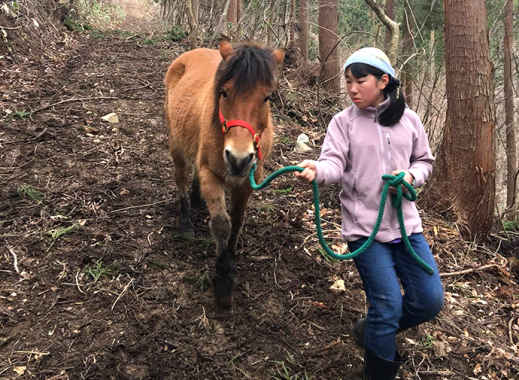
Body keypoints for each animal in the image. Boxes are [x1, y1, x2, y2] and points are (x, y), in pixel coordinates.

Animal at [165, 39, 284, 308]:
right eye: (224, 92)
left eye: (267, 97)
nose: (238, 159)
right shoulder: (211, 175)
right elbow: (221, 223)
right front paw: (223, 279)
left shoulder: (247, 183)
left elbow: (237, 221)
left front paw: (231, 256)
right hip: (176, 144)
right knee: (180, 177)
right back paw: (186, 221)